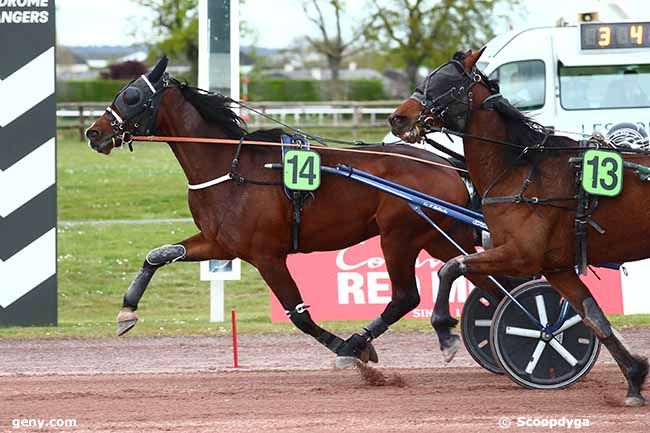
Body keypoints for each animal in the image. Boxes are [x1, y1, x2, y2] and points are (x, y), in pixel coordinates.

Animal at [85, 55, 502, 366]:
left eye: (132, 97)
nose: (94, 133)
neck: (231, 168)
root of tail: (447, 166)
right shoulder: (221, 244)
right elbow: (158, 254)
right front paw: (127, 311)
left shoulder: (266, 255)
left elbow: (298, 313)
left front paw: (345, 348)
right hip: (438, 237)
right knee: (483, 278)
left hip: (399, 236)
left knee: (406, 297)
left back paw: (359, 341)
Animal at [388, 49, 644, 404]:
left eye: (444, 82)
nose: (398, 118)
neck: (520, 169)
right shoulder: (556, 268)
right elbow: (594, 317)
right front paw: (634, 378)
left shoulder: (521, 256)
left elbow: (451, 268)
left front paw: (445, 331)